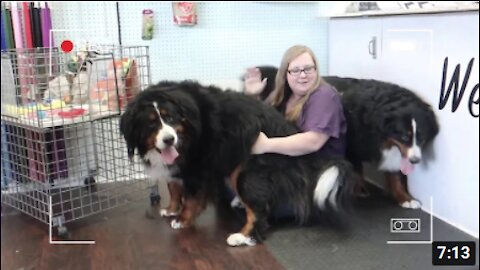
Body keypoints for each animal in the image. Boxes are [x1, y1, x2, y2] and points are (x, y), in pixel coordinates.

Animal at [119, 80, 356, 247]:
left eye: (170, 118)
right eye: (151, 123)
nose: (169, 139)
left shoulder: (198, 165)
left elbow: (192, 197)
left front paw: (182, 219)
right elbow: (173, 186)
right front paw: (170, 209)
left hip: (246, 171)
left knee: (259, 211)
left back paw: (244, 237)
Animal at [253, 67, 440, 209]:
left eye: (422, 137)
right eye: (404, 136)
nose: (416, 160)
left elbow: (395, 175)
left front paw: (404, 197)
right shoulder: (353, 144)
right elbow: (358, 169)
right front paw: (359, 189)